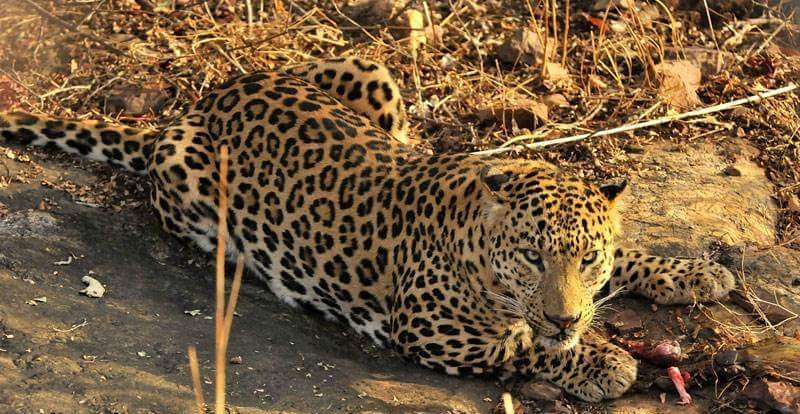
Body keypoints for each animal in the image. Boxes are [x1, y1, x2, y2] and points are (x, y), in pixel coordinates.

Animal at [1, 55, 736, 402]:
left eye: (585, 259)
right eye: (532, 257)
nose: (568, 318)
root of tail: (204, 102)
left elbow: (630, 256)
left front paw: (693, 272)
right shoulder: (434, 331)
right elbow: (522, 346)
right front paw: (602, 360)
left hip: (370, 73)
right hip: (191, 176)